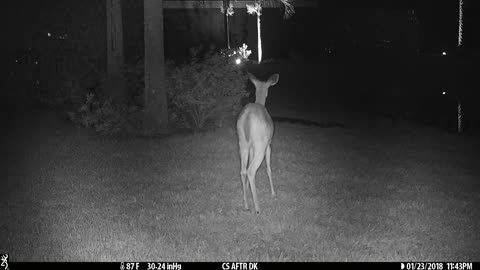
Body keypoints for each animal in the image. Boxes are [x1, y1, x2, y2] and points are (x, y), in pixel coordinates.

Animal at [235, 72, 280, 213]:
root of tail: (247, 116)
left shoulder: (251, 147)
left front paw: (247, 189)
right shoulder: (269, 144)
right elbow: (268, 168)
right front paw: (273, 193)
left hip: (242, 142)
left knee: (243, 170)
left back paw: (246, 204)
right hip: (260, 144)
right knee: (251, 170)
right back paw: (257, 207)